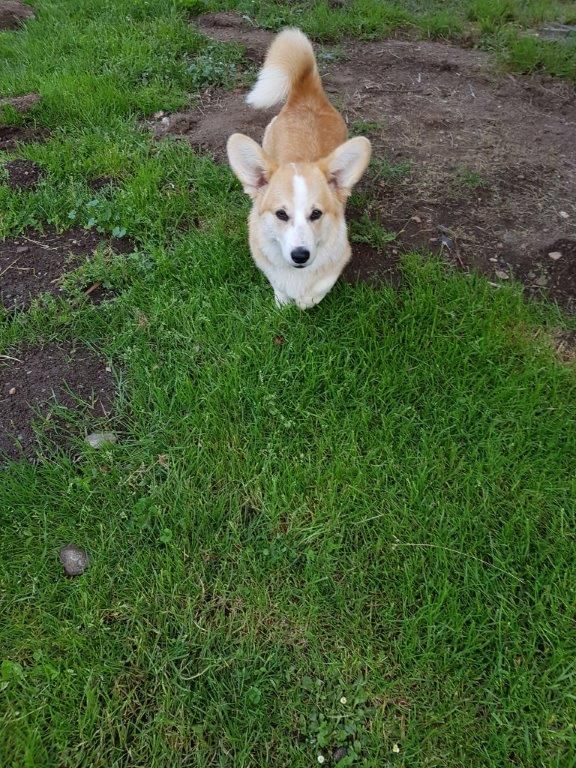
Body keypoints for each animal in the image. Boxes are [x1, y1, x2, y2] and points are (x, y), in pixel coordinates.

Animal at [227, 29, 372, 308]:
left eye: (316, 214)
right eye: (281, 214)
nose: (300, 255)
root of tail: (306, 92)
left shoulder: (339, 258)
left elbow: (319, 289)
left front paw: (305, 301)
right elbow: (279, 286)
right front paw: (284, 303)